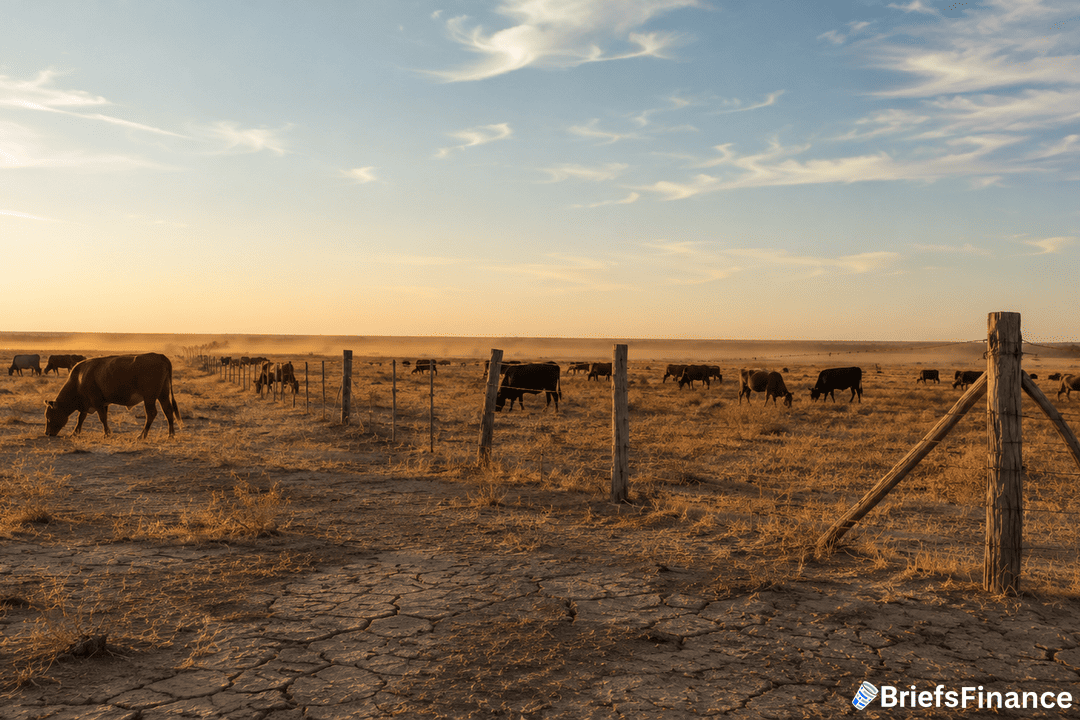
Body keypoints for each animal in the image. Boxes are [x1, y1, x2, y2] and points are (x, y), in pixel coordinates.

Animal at [43, 353, 180, 439]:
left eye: (49, 416)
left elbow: (102, 418)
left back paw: (142, 435)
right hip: (163, 395)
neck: (79, 378)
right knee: (168, 411)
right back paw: (171, 434)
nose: (47, 433)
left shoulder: (96, 402)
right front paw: (75, 433)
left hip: (149, 397)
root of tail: (160, 356)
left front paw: (107, 434)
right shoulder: (93, 404)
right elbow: (81, 418)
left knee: (151, 413)